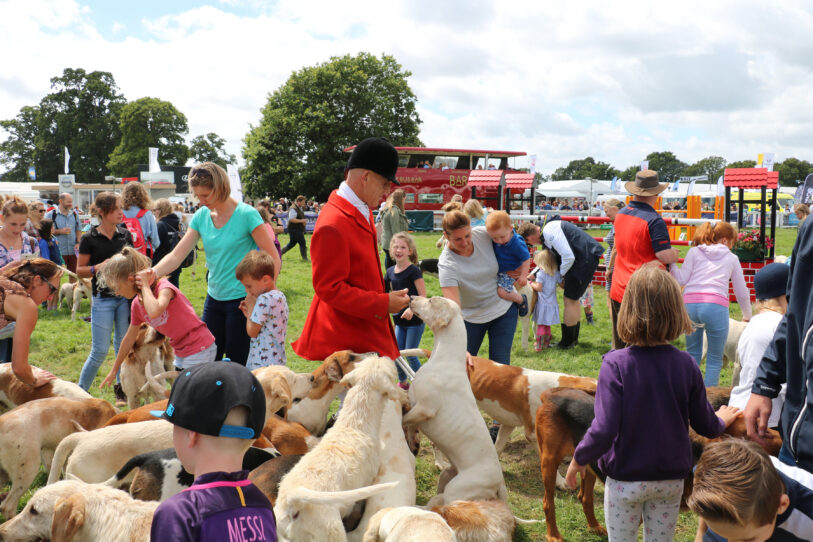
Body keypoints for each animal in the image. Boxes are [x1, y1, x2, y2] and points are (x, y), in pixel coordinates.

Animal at [402, 296, 508, 508]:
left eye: (431, 301)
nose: (411, 297)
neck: (443, 360)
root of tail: (499, 483)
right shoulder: (415, 406)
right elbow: (410, 424)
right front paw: (413, 442)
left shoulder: (425, 409)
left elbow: (404, 419)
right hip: (447, 474)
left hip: (456, 490)